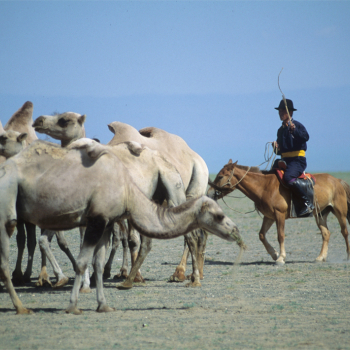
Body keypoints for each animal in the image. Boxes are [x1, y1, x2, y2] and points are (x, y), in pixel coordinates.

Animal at [0, 139, 245, 314]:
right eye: (219, 216)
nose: (236, 232)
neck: (126, 188)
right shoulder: (97, 220)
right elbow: (83, 261)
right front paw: (73, 306)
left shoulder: (104, 221)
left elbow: (96, 263)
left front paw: (101, 304)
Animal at [108, 121, 209, 288]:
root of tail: (198, 158)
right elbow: (129, 239)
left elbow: (133, 240)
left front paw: (136, 277)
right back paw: (196, 274)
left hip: (196, 182)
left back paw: (180, 274)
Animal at [208, 160, 350, 264]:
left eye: (220, 176)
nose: (209, 193)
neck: (264, 186)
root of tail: (337, 180)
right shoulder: (269, 216)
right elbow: (261, 235)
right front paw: (274, 254)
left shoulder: (279, 215)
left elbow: (280, 235)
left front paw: (281, 258)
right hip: (320, 214)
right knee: (326, 233)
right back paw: (320, 257)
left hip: (340, 212)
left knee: (344, 232)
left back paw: (347, 256)